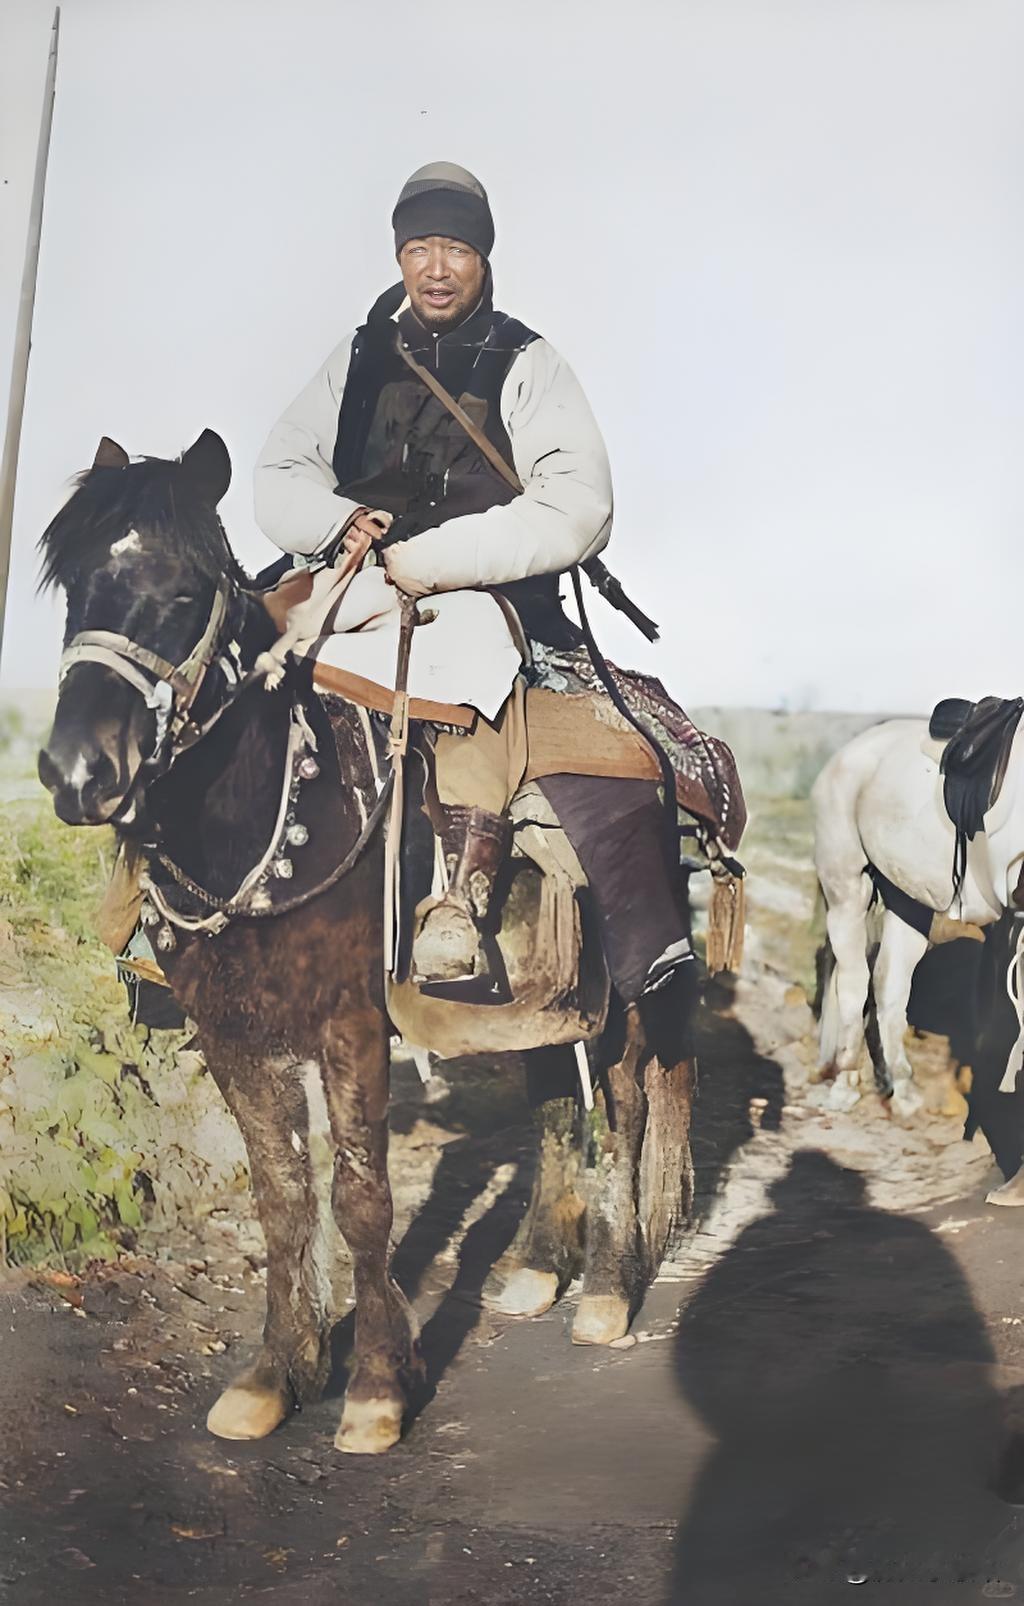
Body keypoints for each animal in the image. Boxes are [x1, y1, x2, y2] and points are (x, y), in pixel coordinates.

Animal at [38, 436, 699, 1458]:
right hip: (534, 997)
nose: (78, 773)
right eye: (72, 585)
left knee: (623, 1106)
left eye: (184, 593)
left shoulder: (350, 1026)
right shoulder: (233, 1034)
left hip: (627, 986)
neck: (271, 809)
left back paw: (604, 1294)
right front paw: (277, 1373)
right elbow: (282, 1195)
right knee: (555, 1097)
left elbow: (360, 1197)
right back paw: (535, 1268)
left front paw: (379, 1384)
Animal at [808, 716, 1024, 1117]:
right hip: (847, 889)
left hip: (908, 902)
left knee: (888, 983)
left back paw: (904, 1091)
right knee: (854, 982)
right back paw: (845, 1083)